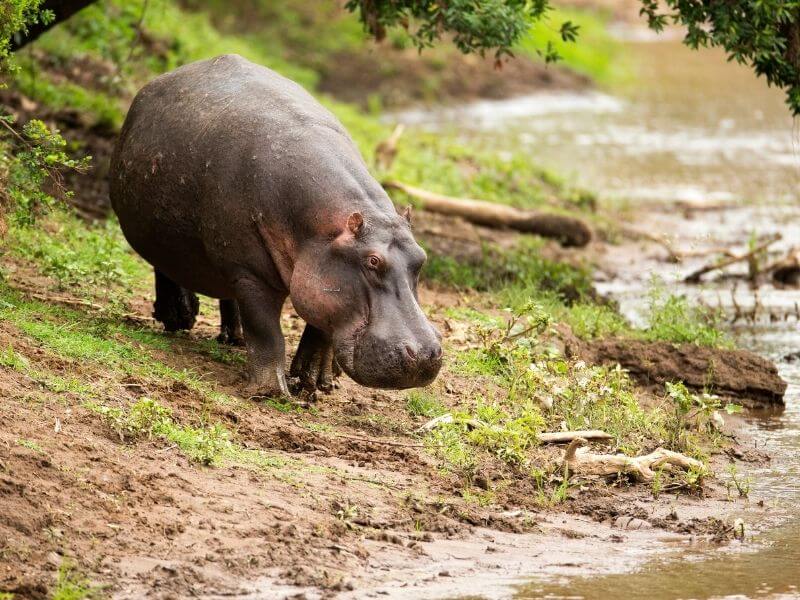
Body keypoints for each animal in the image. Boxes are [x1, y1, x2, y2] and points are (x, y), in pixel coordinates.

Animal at [108, 54, 440, 396]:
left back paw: (235, 339)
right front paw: (272, 391)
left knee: (225, 291)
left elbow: (322, 327)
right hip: (157, 232)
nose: (425, 355)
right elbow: (266, 331)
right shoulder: (249, 271)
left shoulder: (324, 278)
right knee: (165, 266)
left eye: (421, 258)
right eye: (372, 261)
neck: (326, 228)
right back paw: (178, 318)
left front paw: (310, 383)